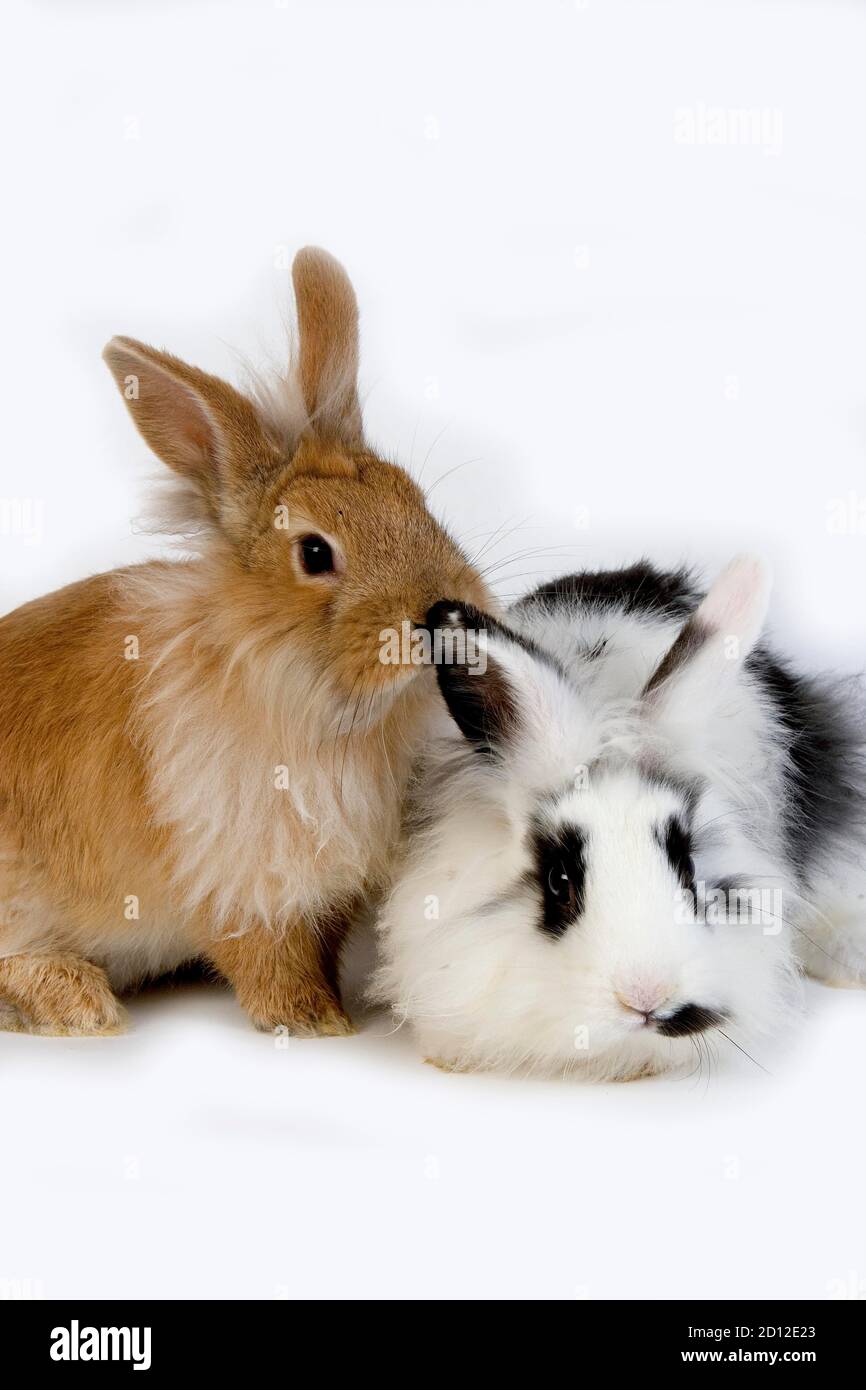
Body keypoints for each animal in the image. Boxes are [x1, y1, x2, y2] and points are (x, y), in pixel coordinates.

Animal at [0, 247, 492, 1037]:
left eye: (415, 499)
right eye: (315, 554)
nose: (445, 612)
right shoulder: (242, 881)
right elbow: (267, 959)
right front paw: (317, 1024)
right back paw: (80, 1004)